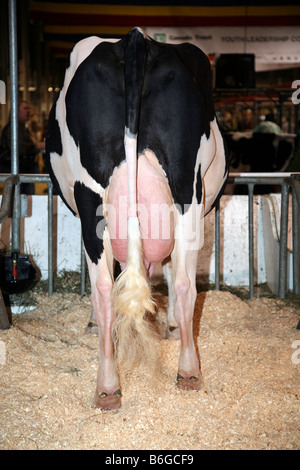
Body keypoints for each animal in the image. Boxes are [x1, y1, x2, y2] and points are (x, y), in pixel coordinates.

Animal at [45, 27, 227, 410]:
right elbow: (168, 270)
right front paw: (169, 326)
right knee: (182, 282)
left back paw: (112, 385)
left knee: (106, 286)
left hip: (94, 194)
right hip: (185, 186)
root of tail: (135, 39)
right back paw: (183, 373)